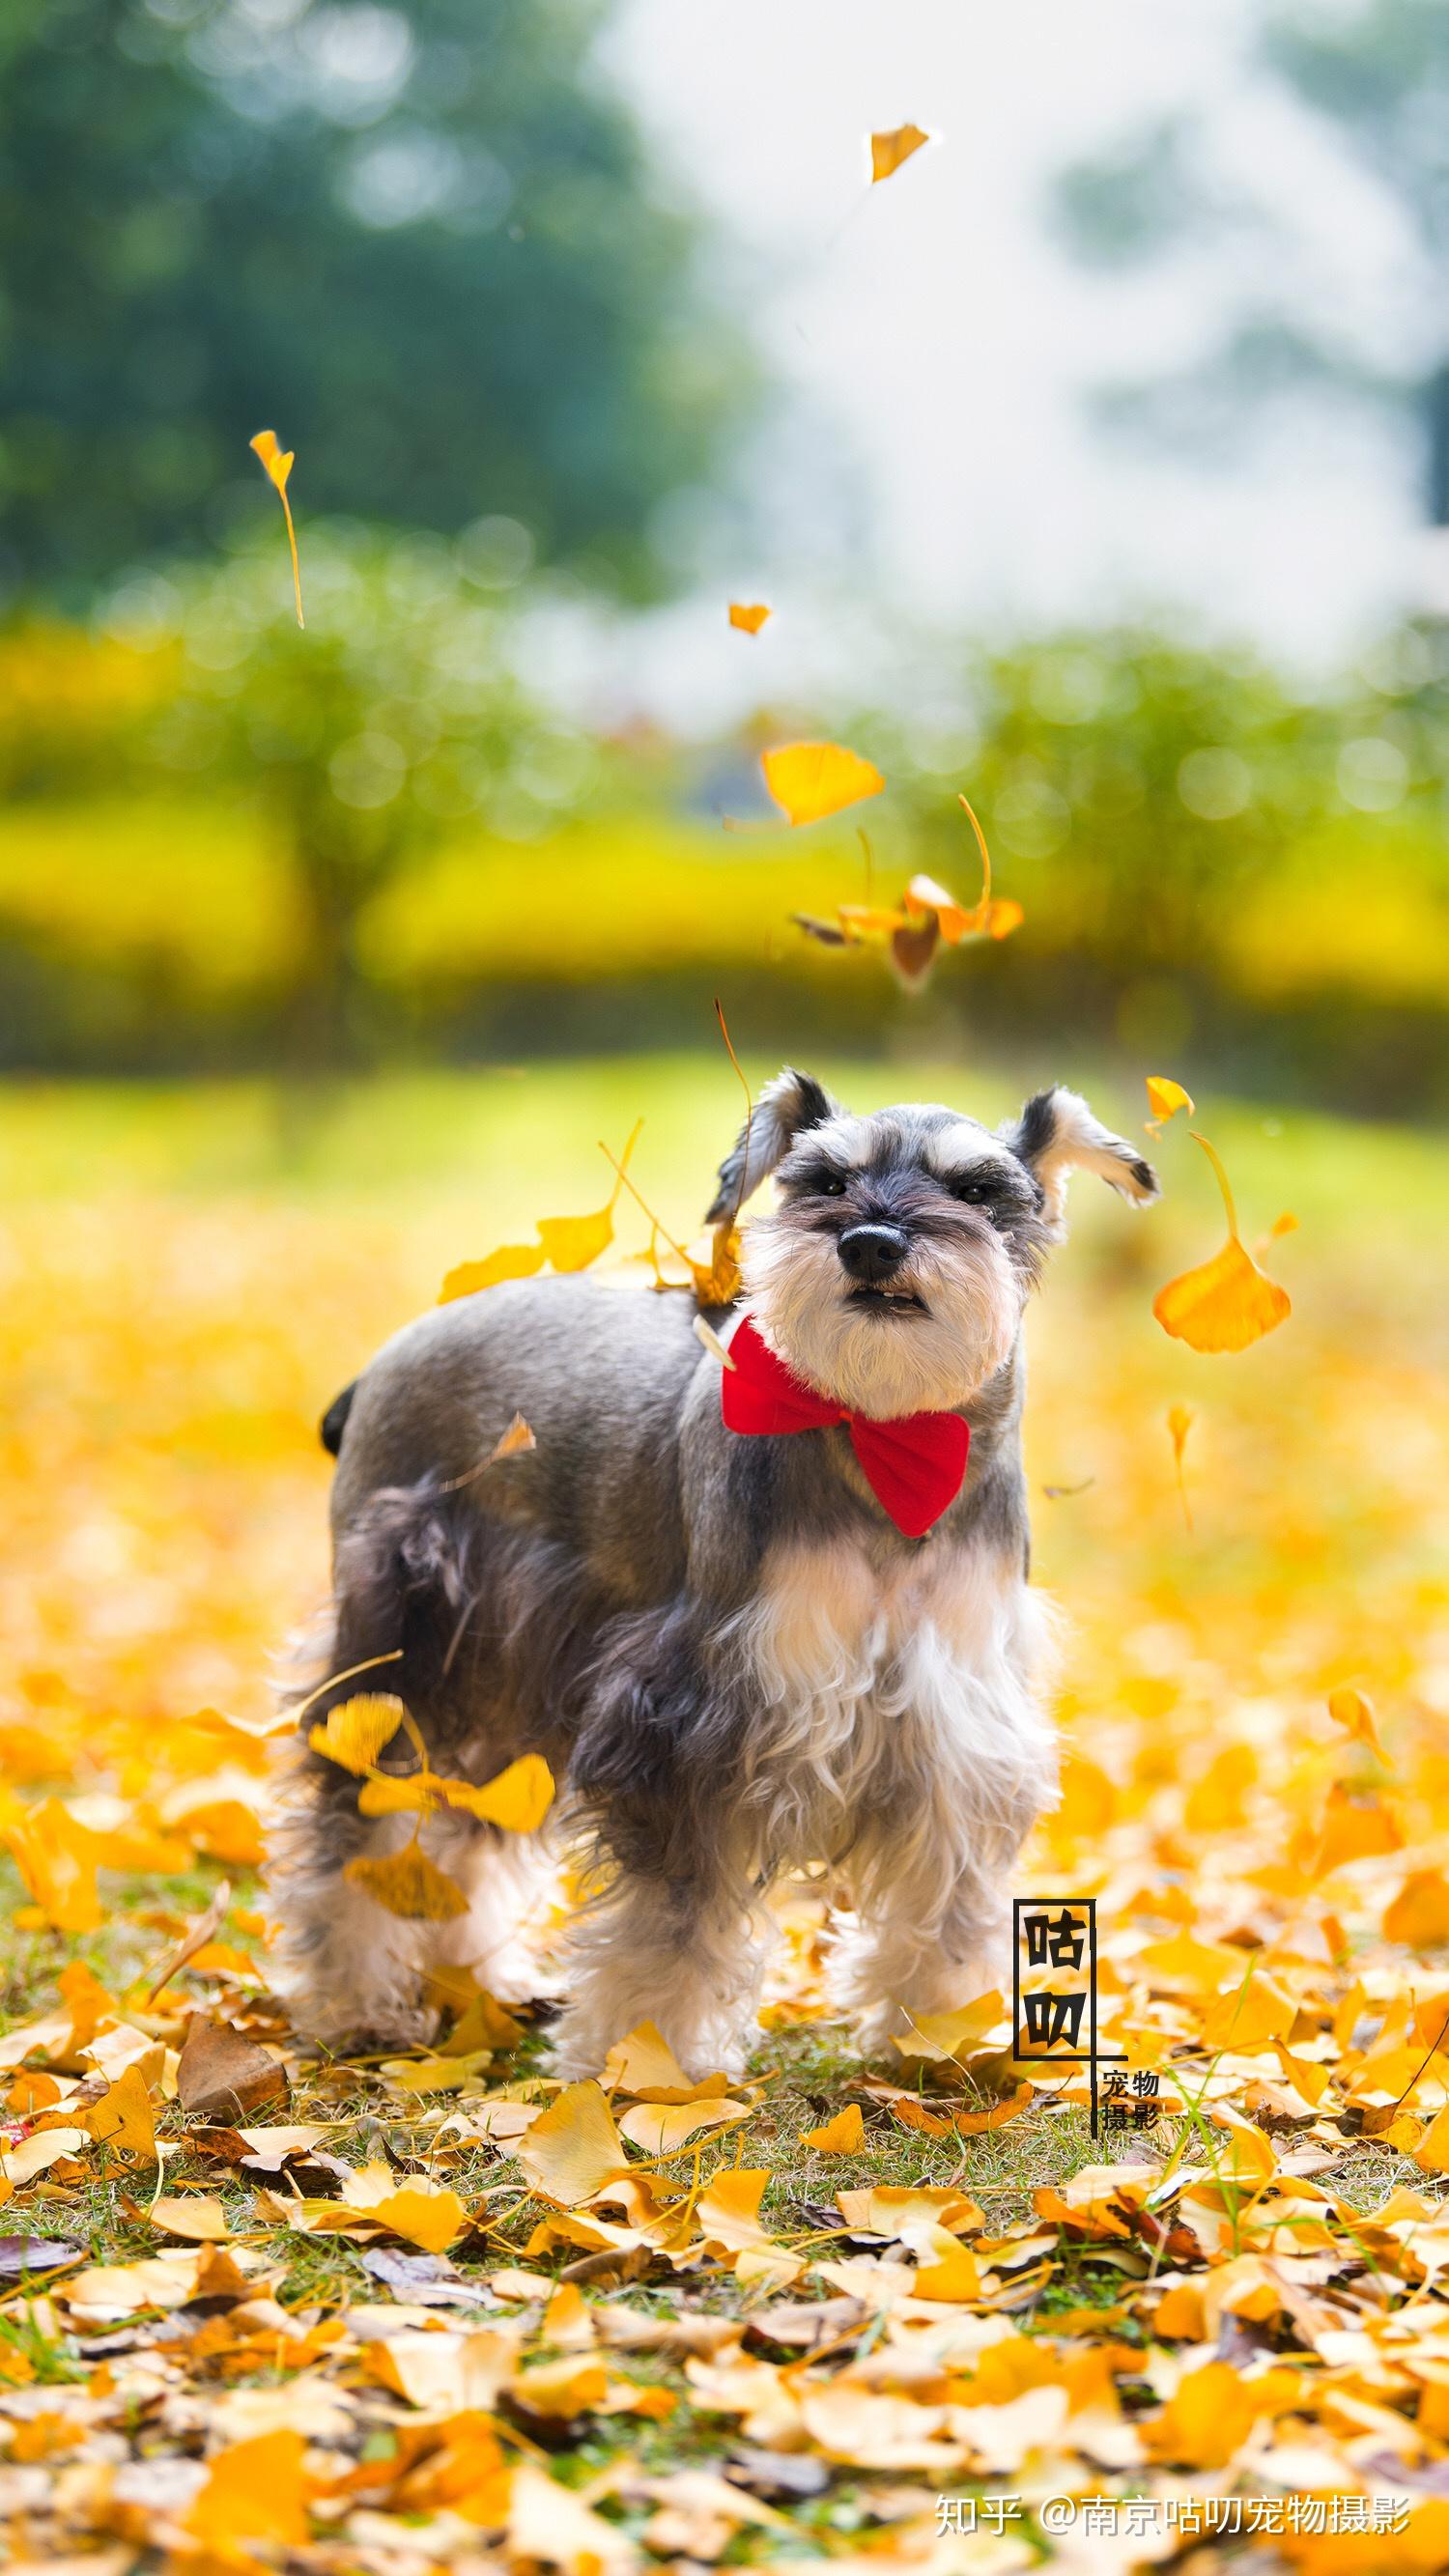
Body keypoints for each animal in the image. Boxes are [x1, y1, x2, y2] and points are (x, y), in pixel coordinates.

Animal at [268, 1076, 1150, 2081]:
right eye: (824, 1179)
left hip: (500, 1674)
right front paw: (644, 2060)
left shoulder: (957, 1720)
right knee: (354, 1823)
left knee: (465, 1825)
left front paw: (938, 2031)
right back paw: (354, 2002)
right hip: (399, 1650)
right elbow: (669, 1920)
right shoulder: (688, 1718)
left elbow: (949, 1894)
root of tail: (380, 1365)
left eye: (975, 1191)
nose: (871, 1241)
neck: (880, 1436)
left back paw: (472, 1977)